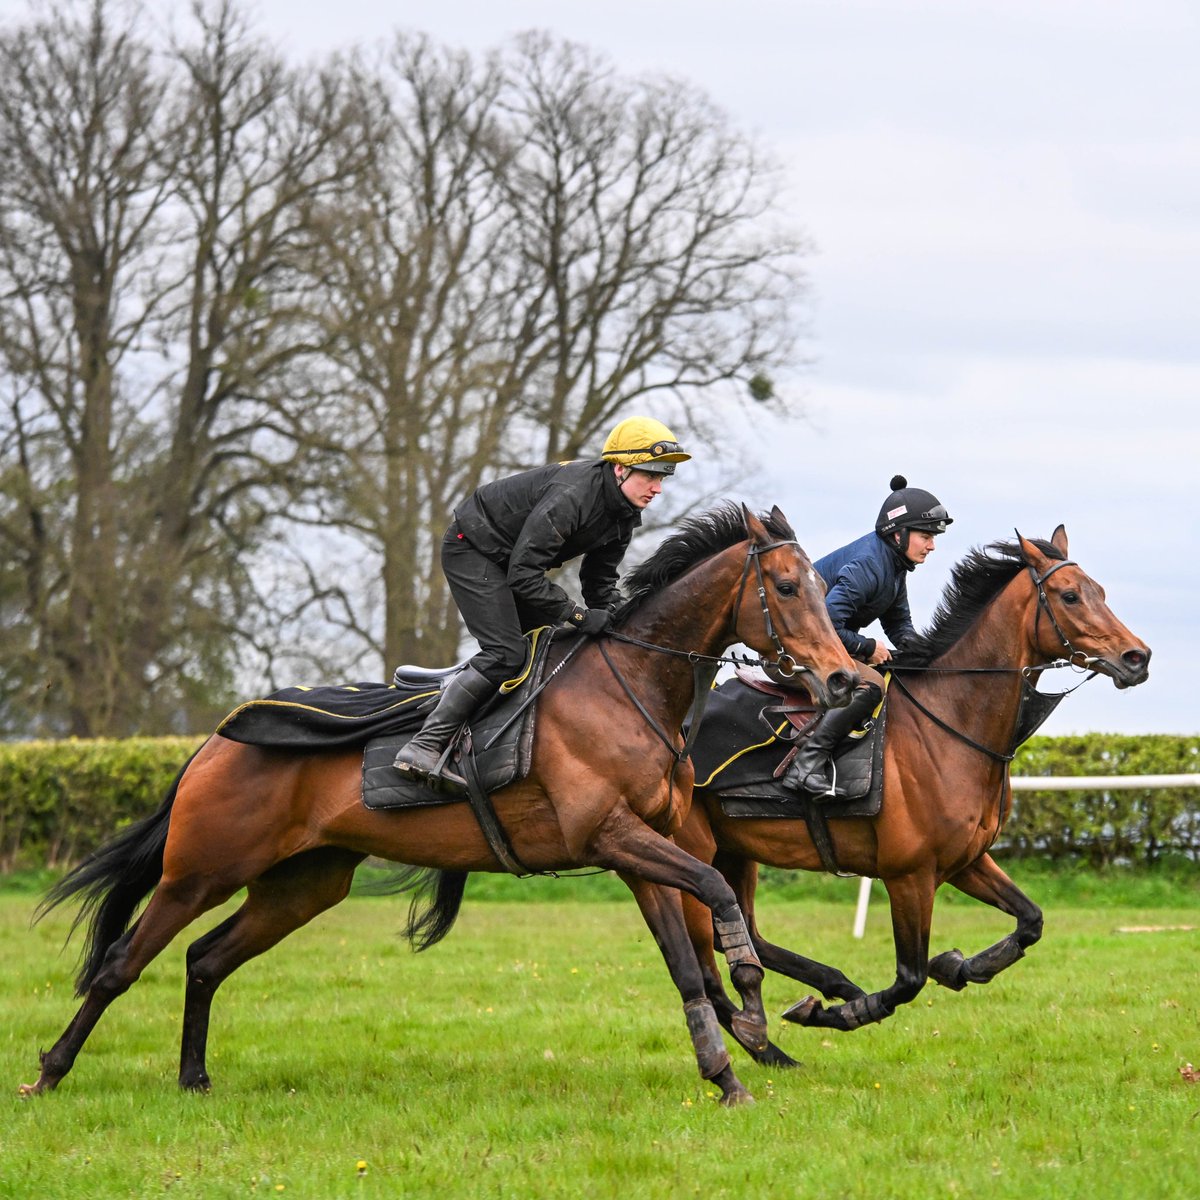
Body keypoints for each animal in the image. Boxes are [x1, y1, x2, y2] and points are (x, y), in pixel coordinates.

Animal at [23, 504, 859, 1104]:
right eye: (789, 587)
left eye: (824, 588)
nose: (845, 679)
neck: (631, 685)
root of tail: (211, 745)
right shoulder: (612, 835)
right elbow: (718, 896)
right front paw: (754, 1007)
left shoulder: (638, 848)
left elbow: (687, 966)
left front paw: (728, 1073)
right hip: (200, 869)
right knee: (120, 965)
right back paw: (50, 1072)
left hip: (302, 883)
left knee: (203, 959)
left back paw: (193, 1078)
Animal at [676, 523, 1152, 1060]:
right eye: (1070, 595)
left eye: (1100, 592)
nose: (1138, 657)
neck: (949, 725)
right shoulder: (909, 875)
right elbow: (910, 978)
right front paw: (844, 1014)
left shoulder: (965, 861)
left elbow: (1030, 920)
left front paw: (962, 966)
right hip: (698, 847)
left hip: (735, 851)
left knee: (748, 935)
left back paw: (824, 994)